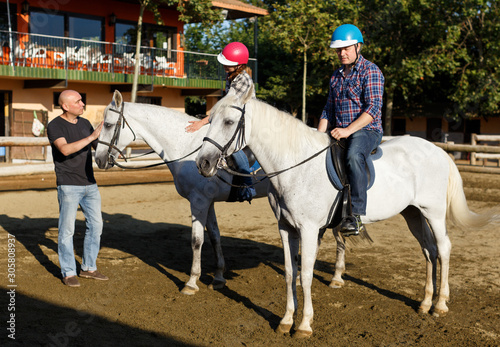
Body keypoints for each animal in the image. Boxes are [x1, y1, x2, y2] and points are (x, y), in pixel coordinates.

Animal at [95, 90, 270, 296]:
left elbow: (196, 240)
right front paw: (219, 278)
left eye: (107, 124)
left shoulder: (198, 201)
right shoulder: (208, 202)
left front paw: (192, 282)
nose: (98, 159)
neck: (187, 145)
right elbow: (214, 236)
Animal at [196, 84, 500, 338]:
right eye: (209, 120)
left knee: (444, 248)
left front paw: (304, 326)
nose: (203, 163)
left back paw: (440, 305)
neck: (295, 164)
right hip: (412, 213)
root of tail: (438, 151)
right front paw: (285, 321)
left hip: (433, 212)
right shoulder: (286, 228)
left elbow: (306, 275)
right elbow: (290, 273)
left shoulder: (309, 229)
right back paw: (425, 303)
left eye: (229, 122)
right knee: (429, 250)